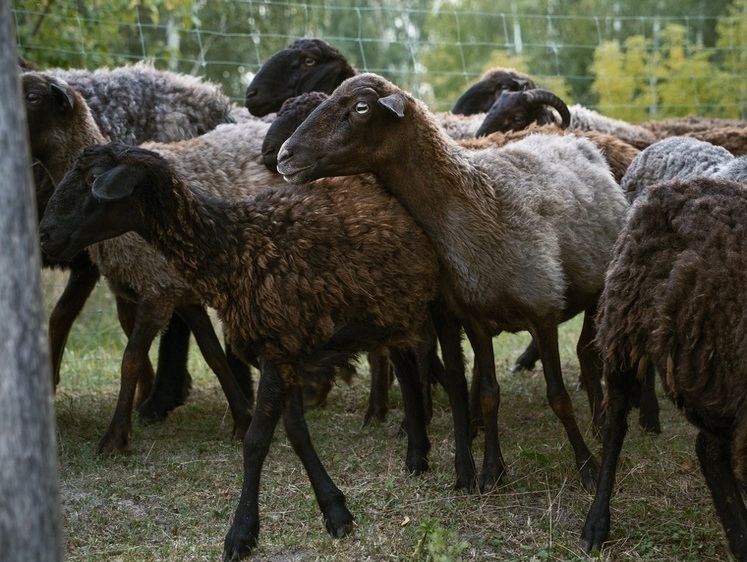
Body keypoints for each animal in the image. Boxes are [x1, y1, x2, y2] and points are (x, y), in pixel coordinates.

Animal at [35, 139, 480, 556]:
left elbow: (255, 442)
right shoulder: (285, 351)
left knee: (452, 375)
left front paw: (241, 534)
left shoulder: (279, 349)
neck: (235, 248)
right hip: (388, 313)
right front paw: (336, 511)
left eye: (93, 181)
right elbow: (297, 434)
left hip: (431, 304)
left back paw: (465, 467)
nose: (45, 235)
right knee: (406, 365)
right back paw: (417, 456)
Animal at [274, 72, 632, 492]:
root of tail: (577, 142)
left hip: (598, 290)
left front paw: (587, 468)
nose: (284, 156)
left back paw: (600, 426)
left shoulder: (542, 310)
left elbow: (557, 395)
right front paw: (492, 471)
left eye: (361, 107)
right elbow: (490, 394)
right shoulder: (475, 318)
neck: (482, 202)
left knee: (587, 354)